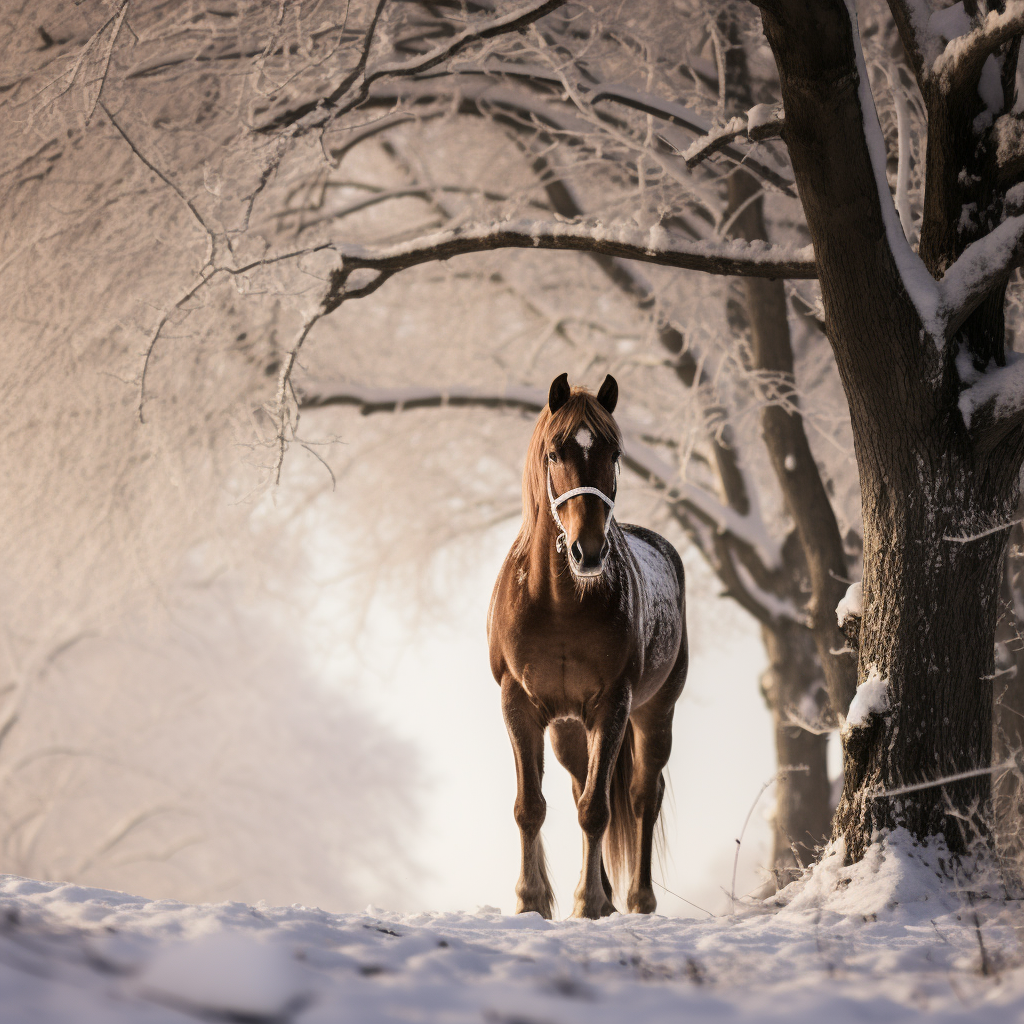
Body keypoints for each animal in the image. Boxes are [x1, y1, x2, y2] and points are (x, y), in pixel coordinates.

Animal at [485, 372, 688, 917]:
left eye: (615, 452)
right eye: (555, 453)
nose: (589, 551)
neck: (559, 602)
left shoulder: (613, 703)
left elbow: (597, 811)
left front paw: (589, 901)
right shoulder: (519, 703)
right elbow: (531, 807)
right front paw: (531, 901)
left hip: (654, 711)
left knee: (641, 795)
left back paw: (636, 898)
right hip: (568, 728)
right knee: (582, 785)